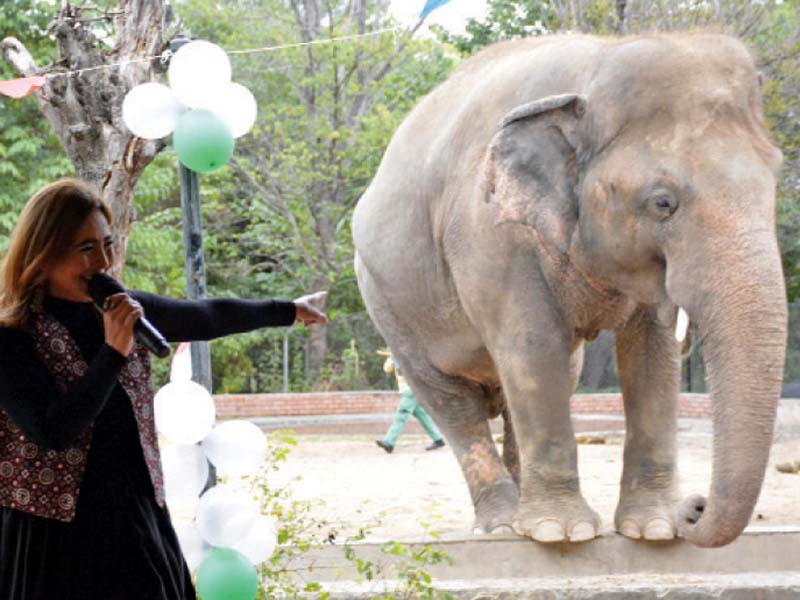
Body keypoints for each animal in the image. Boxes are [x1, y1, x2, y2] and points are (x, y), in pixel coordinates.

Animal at [352, 34, 788, 548]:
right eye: (662, 203)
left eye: (775, 178)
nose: (694, 508)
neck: (596, 65)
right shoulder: (488, 230)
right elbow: (533, 344)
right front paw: (563, 533)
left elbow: (651, 352)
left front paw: (654, 530)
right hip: (388, 305)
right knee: (450, 400)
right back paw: (504, 526)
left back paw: (521, 515)